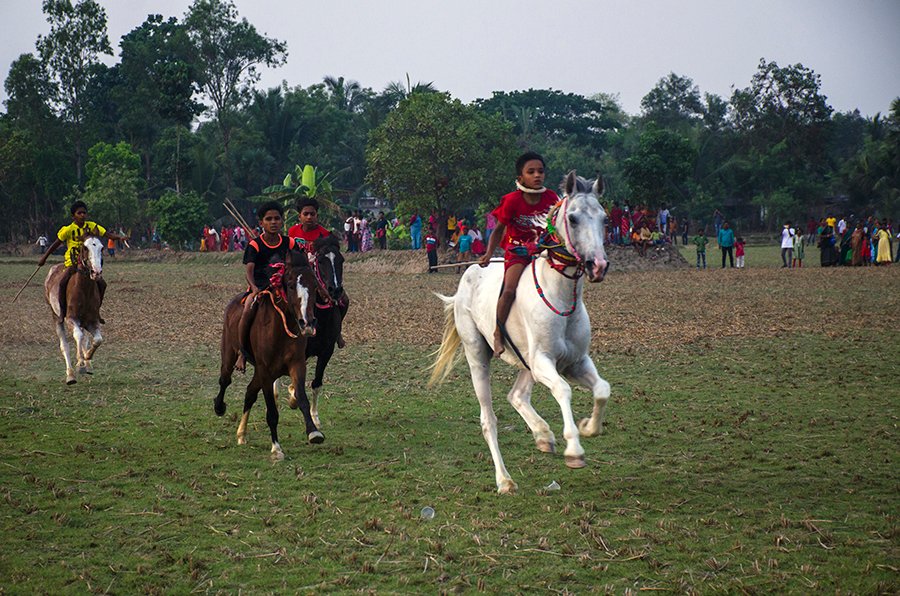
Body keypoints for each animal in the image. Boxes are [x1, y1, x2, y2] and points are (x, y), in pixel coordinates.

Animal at [44, 235, 104, 384]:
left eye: (101, 248)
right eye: (85, 248)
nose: (96, 272)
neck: (84, 289)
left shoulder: (92, 321)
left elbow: (97, 339)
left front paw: (87, 358)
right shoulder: (71, 318)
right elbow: (78, 336)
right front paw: (80, 364)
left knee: (85, 339)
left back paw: (87, 365)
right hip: (56, 317)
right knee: (64, 345)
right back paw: (70, 375)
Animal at [214, 251, 324, 460]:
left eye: (315, 285)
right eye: (290, 285)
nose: (307, 323)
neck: (281, 326)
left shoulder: (296, 365)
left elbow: (302, 399)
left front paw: (314, 432)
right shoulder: (265, 371)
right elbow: (272, 412)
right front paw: (276, 448)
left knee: (249, 392)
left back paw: (241, 434)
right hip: (230, 355)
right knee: (225, 380)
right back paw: (219, 406)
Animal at [288, 233, 348, 424]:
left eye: (341, 260)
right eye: (320, 261)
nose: (335, 290)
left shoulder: (326, 350)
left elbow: (316, 382)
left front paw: (314, 417)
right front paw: (293, 397)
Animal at [428, 169, 612, 494]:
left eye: (604, 218)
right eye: (573, 218)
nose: (598, 265)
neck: (561, 297)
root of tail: (467, 276)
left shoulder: (575, 362)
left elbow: (602, 389)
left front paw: (589, 428)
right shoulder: (544, 362)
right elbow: (563, 391)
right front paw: (574, 450)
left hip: (527, 361)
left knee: (516, 395)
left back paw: (543, 435)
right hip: (479, 356)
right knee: (488, 419)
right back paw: (504, 480)